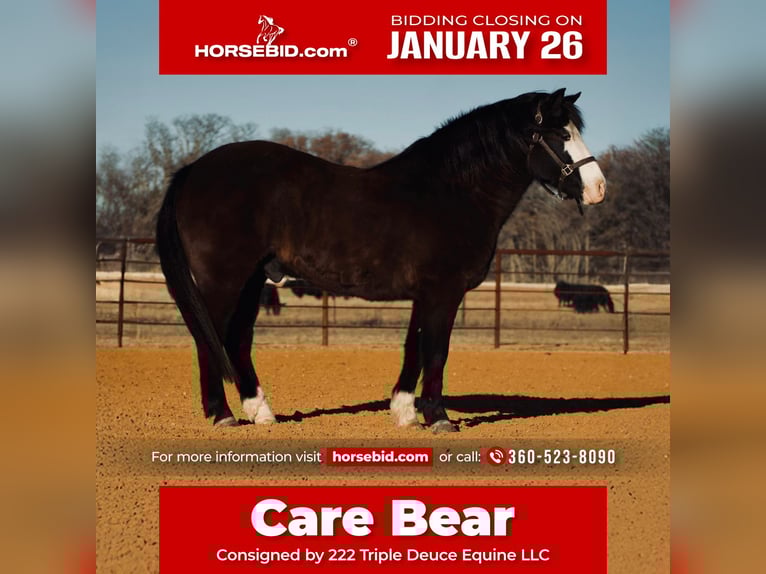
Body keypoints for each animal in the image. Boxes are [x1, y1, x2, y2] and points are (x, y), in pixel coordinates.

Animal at [156, 89, 606, 432]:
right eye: (557, 133)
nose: (598, 188)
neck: (451, 191)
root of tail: (193, 169)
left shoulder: (425, 293)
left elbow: (414, 348)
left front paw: (405, 412)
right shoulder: (443, 291)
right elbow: (436, 351)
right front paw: (439, 418)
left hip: (252, 280)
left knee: (237, 340)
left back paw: (261, 412)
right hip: (223, 280)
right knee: (208, 338)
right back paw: (222, 415)